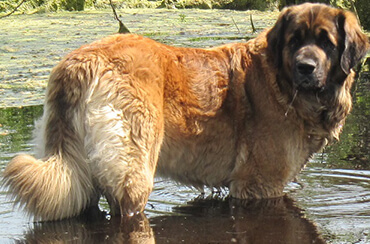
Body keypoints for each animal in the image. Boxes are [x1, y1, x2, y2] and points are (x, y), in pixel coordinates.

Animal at [2, 3, 368, 221]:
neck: (280, 80)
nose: (306, 67)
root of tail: (80, 62)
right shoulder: (258, 185)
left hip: (78, 172)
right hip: (133, 170)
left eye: (326, 42)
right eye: (295, 40)